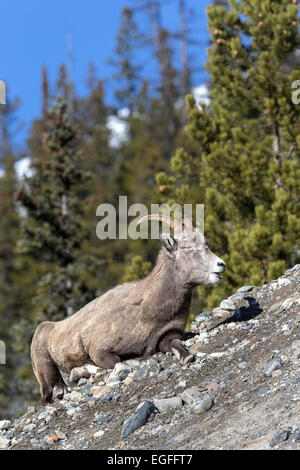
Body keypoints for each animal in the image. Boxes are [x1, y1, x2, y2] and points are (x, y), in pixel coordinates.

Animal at [31, 215, 226, 402]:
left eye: (206, 245)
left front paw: (187, 357)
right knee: (49, 394)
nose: (221, 265)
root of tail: (43, 328)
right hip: (45, 369)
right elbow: (116, 362)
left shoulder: (168, 334)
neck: (147, 310)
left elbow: (174, 345)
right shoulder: (99, 351)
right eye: (187, 248)